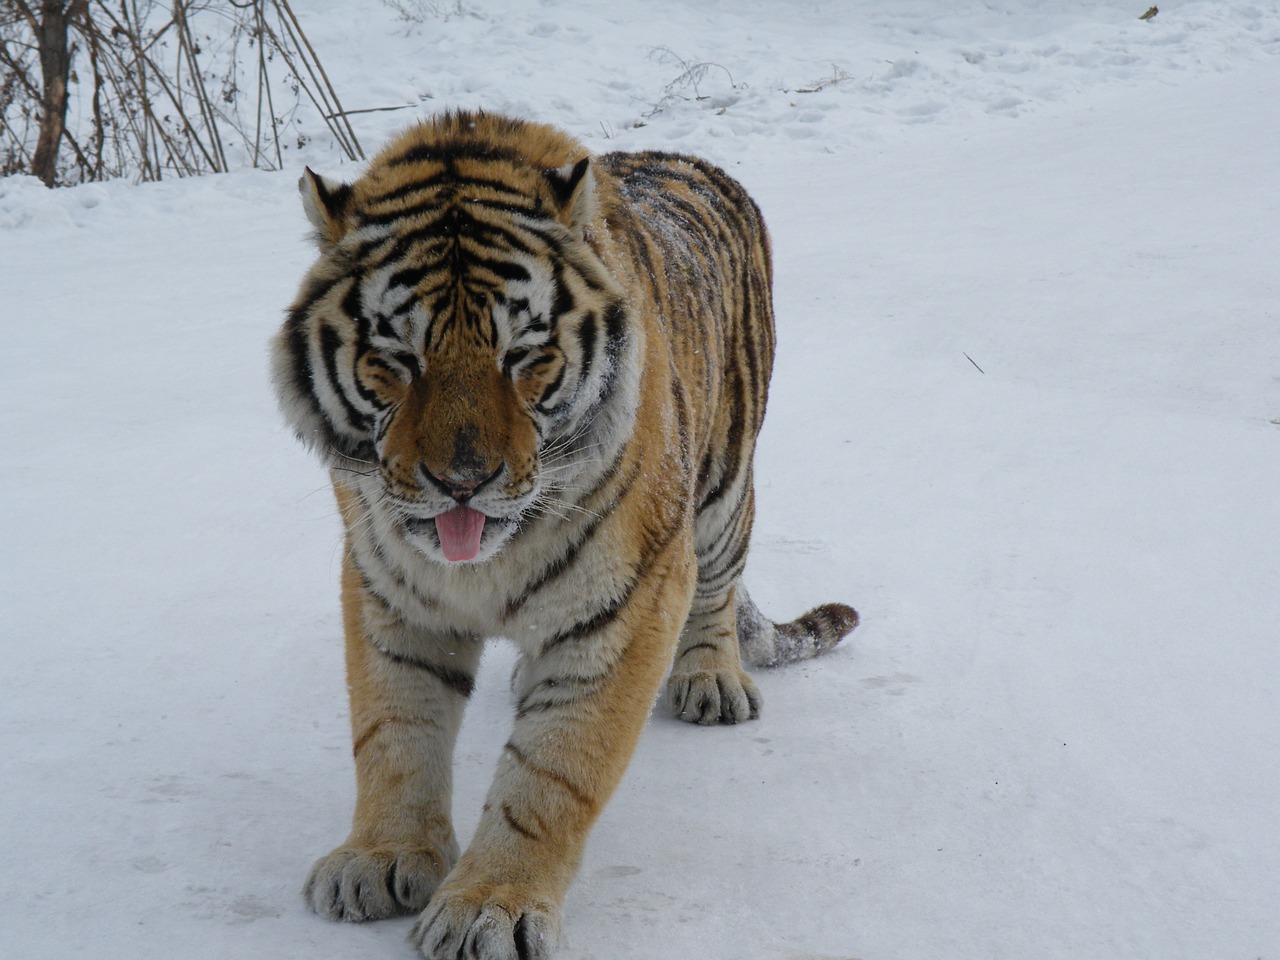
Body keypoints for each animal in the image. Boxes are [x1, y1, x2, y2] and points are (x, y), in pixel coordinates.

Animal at [270, 112, 855, 960]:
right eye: (399, 360)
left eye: (523, 356)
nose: (462, 481)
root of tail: (690, 161)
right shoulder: (387, 587)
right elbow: (393, 731)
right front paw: (380, 857)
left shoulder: (628, 600)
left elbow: (551, 771)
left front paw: (488, 906)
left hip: (722, 487)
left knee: (718, 587)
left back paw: (711, 679)